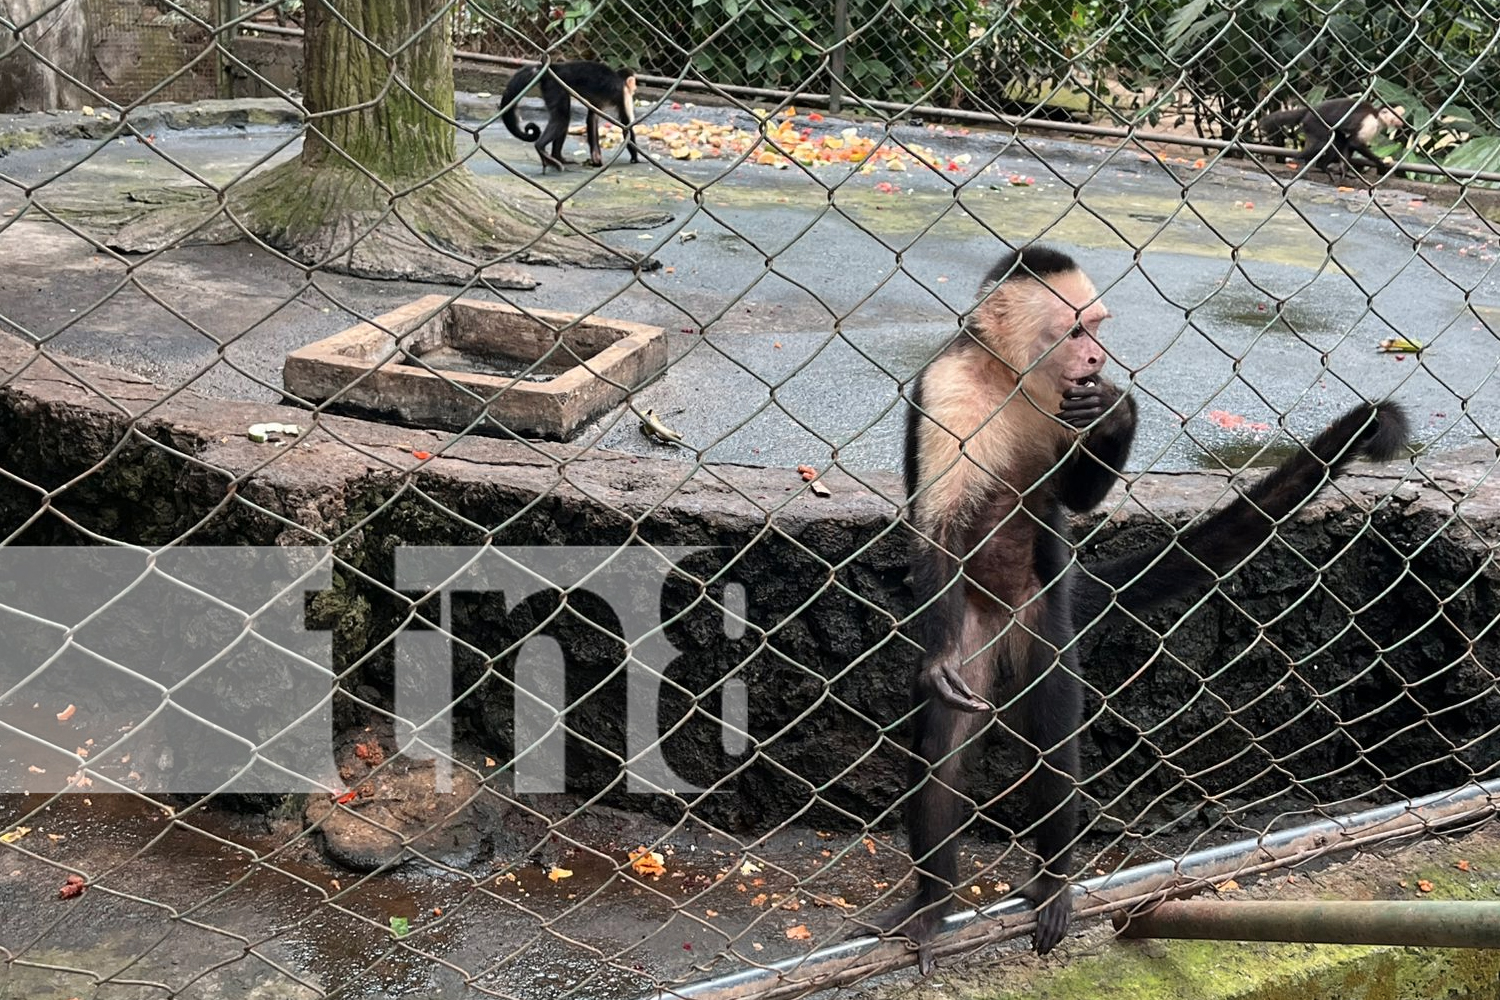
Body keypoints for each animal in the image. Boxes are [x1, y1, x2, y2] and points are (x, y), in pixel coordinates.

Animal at [498, 59, 639, 172]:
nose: (635, 88)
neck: (620, 80)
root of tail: (553, 68)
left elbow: (592, 118)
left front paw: (596, 158)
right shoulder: (624, 93)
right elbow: (626, 125)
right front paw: (636, 158)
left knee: (563, 118)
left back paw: (558, 157)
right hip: (555, 85)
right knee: (562, 117)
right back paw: (541, 148)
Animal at [864, 245, 1410, 971]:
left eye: (1097, 329)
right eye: (1075, 331)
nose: (1098, 357)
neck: (1011, 378)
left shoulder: (1065, 402)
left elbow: (1077, 495)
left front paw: (1118, 414)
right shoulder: (950, 388)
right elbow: (939, 532)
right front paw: (936, 658)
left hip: (1046, 621)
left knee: (1055, 737)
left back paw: (1052, 879)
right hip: (981, 627)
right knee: (943, 750)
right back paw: (931, 906)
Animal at [1260, 97, 1410, 179]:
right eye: (1398, 116)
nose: (1402, 122)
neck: (1377, 117)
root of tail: (1310, 110)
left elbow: (1350, 144)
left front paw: (1343, 169)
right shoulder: (1370, 123)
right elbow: (1355, 143)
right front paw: (1380, 162)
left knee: (1339, 140)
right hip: (1314, 123)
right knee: (1324, 142)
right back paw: (1312, 163)